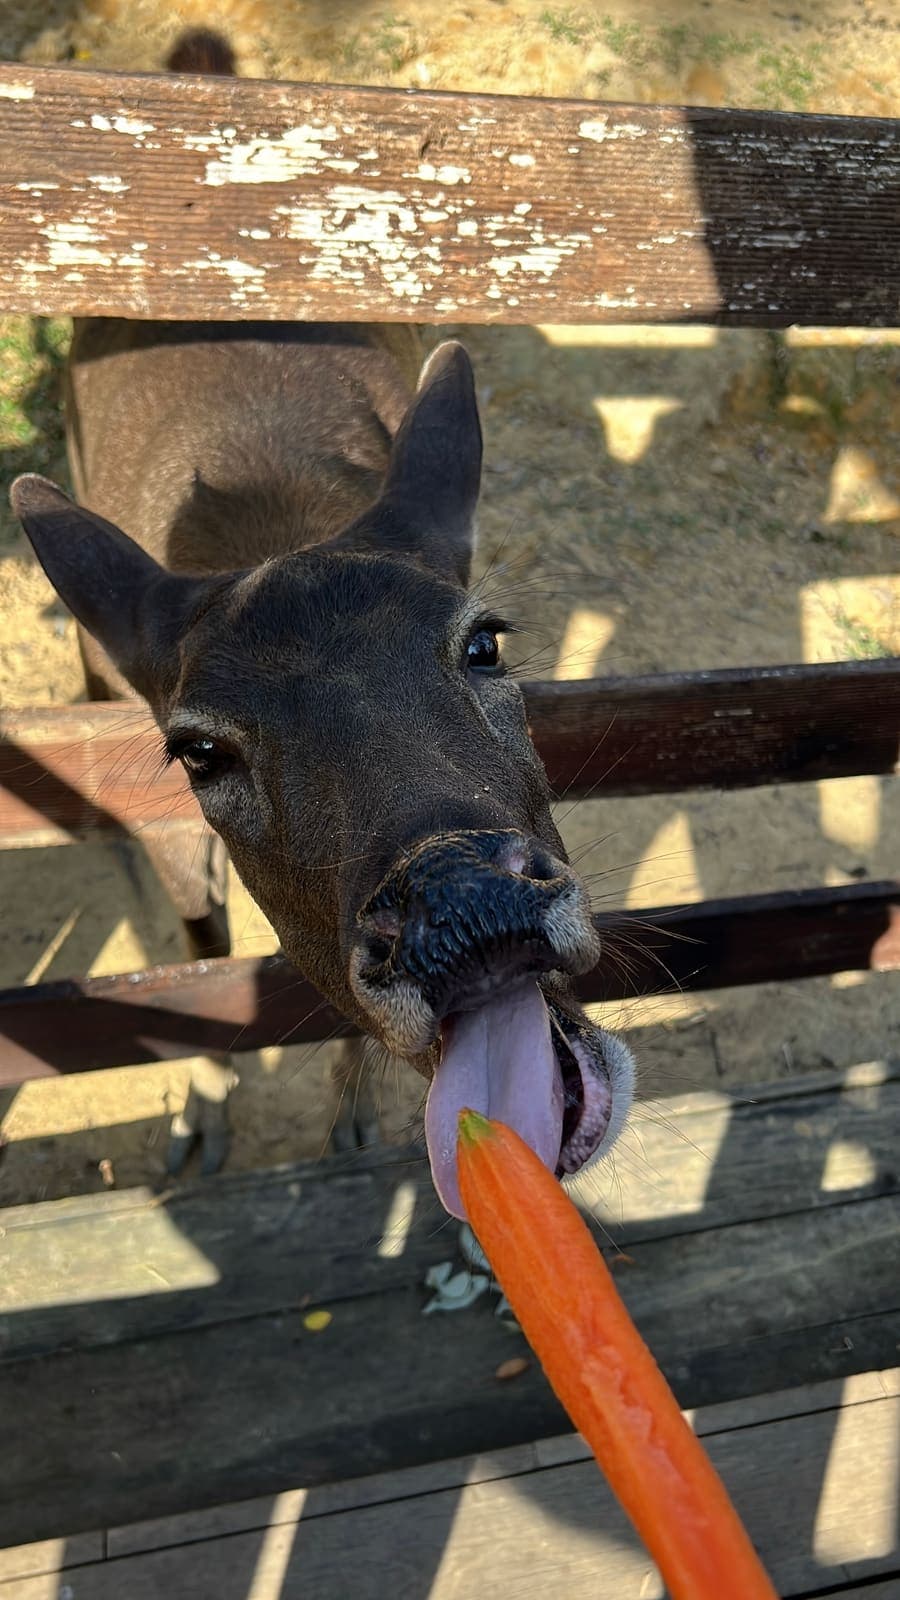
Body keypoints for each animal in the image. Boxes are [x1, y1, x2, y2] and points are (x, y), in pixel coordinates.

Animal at [10, 30, 634, 1222]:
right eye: (199, 749)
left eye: (484, 640)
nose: (460, 906)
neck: (273, 523)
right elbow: (197, 949)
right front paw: (198, 1117)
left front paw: (351, 1112)